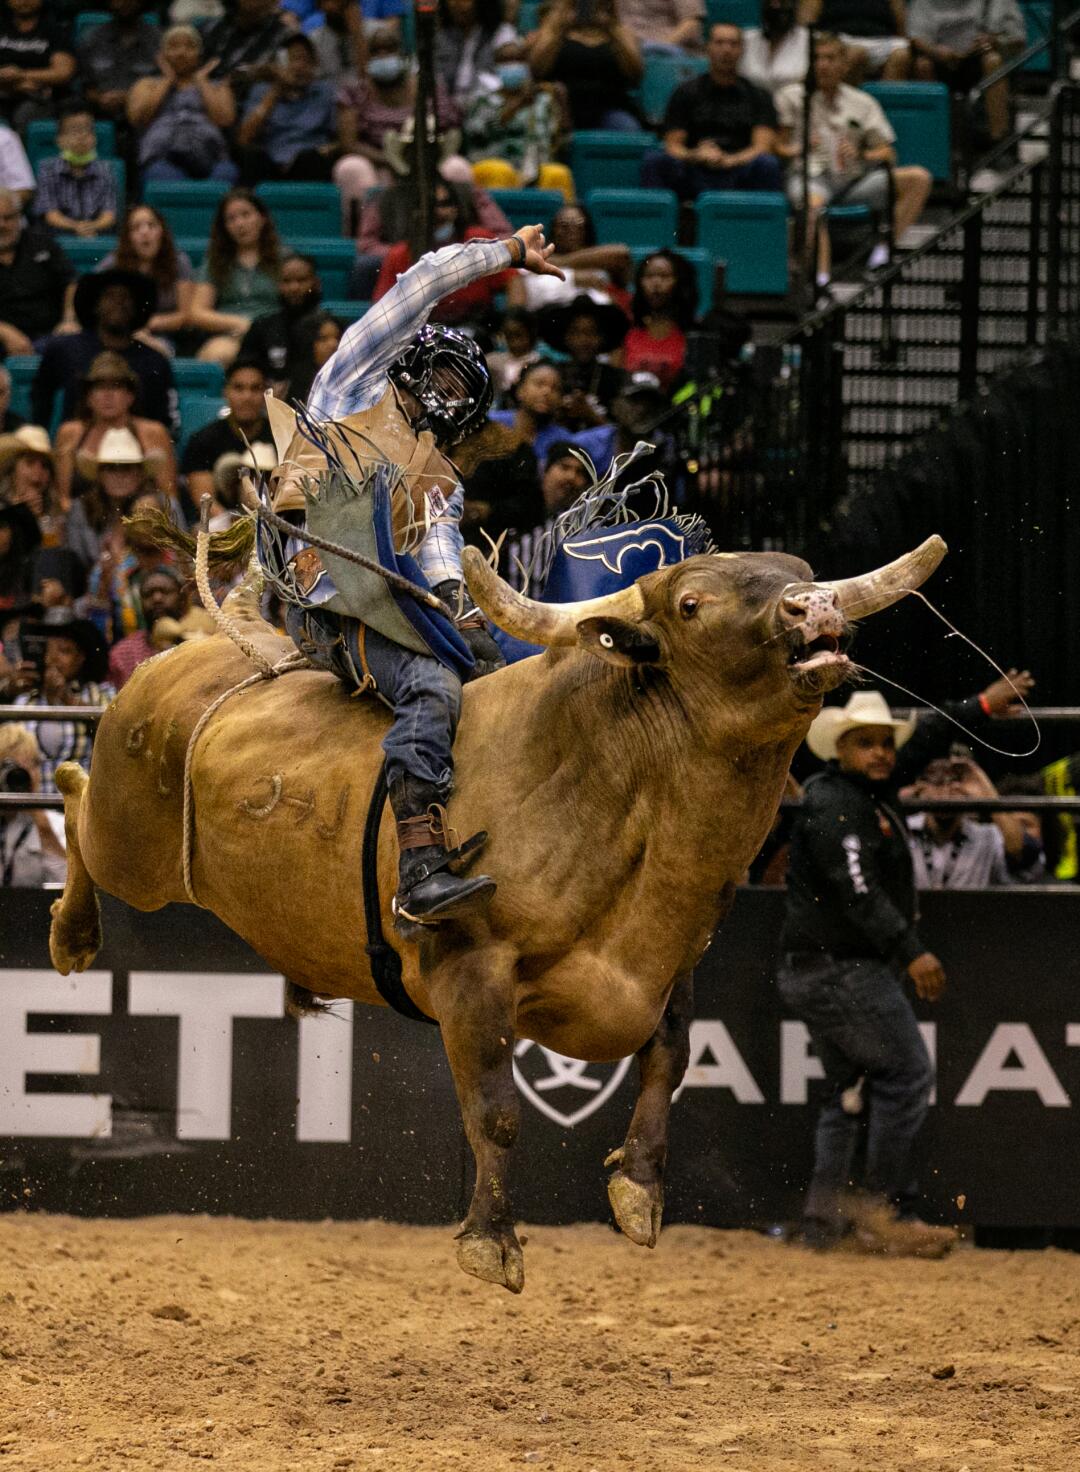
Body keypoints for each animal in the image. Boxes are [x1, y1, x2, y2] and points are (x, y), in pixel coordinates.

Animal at [46, 535, 941, 1295]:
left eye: (801, 570)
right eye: (692, 603)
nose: (812, 607)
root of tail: (181, 659)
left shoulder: (669, 969)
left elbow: (669, 1061)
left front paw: (639, 1190)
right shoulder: (470, 976)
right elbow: (497, 1113)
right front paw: (491, 1240)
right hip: (131, 846)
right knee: (78, 804)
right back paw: (72, 930)